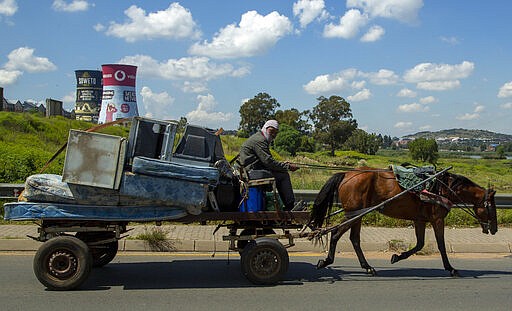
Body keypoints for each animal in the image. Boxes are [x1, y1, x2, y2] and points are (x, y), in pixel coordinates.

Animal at [310, 168, 498, 278]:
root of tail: (347, 175)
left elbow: (420, 244)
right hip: (353, 214)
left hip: (358, 214)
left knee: (354, 239)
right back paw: (327, 261)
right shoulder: (437, 219)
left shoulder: (420, 220)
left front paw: (397, 256)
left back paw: (367, 266)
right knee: (336, 233)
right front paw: (451, 268)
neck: (443, 188)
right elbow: (441, 245)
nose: (495, 229)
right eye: (492, 207)